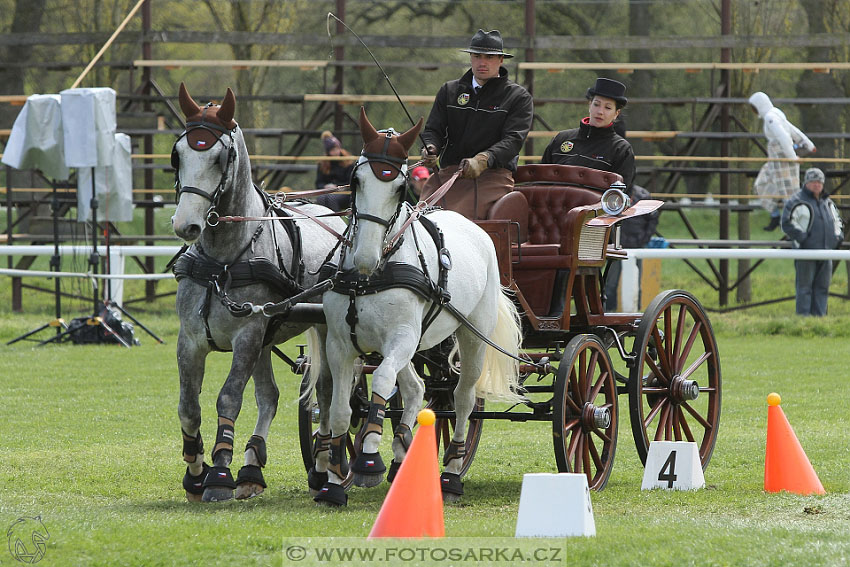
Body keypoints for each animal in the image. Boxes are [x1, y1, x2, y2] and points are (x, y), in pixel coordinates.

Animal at [171, 83, 346, 502]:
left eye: (220, 157)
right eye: (177, 154)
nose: (186, 225)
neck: (222, 260)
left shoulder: (247, 335)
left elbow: (229, 396)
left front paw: (219, 472)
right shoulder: (191, 339)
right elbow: (189, 405)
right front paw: (195, 472)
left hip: (322, 329)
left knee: (328, 393)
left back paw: (322, 466)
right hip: (268, 337)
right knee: (270, 395)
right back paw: (252, 467)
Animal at [310, 108, 524, 508]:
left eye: (399, 187)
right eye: (356, 180)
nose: (365, 258)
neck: (371, 275)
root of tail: (478, 228)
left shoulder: (401, 338)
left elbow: (381, 380)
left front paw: (368, 458)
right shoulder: (341, 345)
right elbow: (341, 409)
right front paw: (332, 482)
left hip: (471, 337)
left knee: (462, 398)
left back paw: (451, 474)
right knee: (416, 388)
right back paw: (401, 455)